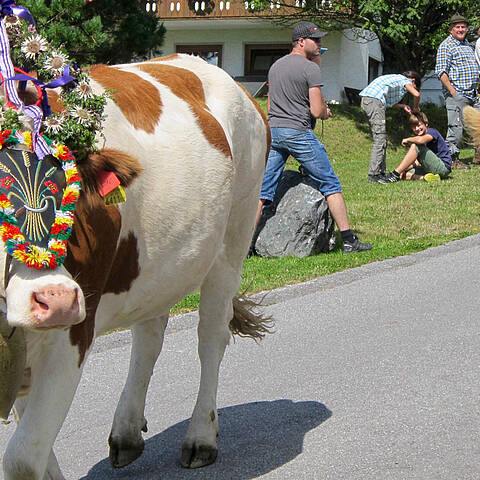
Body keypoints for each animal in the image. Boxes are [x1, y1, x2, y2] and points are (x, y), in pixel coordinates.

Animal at [0, 5, 272, 478]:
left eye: (65, 186)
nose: (56, 299)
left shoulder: (72, 333)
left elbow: (22, 459)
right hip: (162, 261)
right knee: (149, 333)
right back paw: (126, 432)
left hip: (233, 240)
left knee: (211, 336)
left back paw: (201, 437)